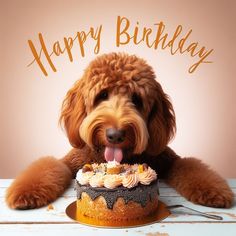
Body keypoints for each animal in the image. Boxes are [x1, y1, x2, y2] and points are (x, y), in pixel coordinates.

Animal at [6, 53, 234, 208]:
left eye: (136, 100)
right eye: (102, 95)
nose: (115, 135)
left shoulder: (168, 159)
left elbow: (190, 165)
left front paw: (214, 190)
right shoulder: (70, 161)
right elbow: (49, 166)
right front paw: (25, 191)